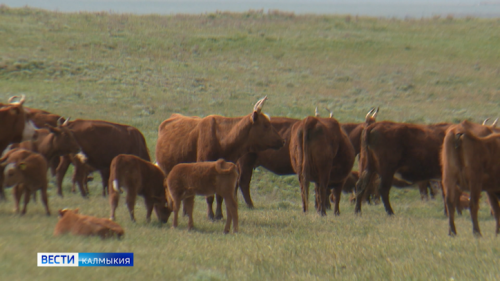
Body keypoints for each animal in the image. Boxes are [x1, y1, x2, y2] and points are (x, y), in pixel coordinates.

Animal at [154, 97, 284, 220]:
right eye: (266, 125)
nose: (282, 141)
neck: (222, 139)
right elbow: (210, 196)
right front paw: (210, 215)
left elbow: (220, 197)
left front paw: (219, 215)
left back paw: (185, 213)